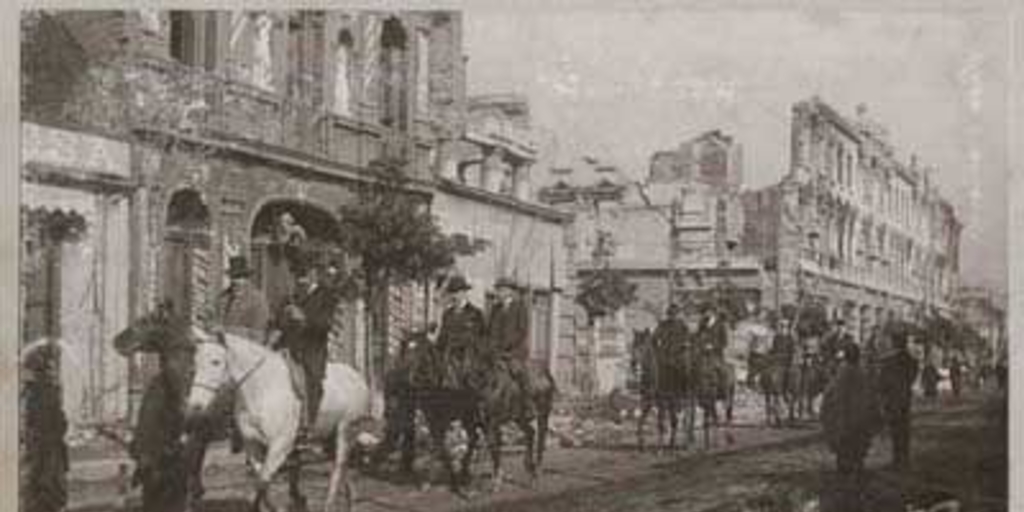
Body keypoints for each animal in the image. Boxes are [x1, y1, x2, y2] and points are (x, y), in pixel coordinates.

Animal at [185, 327, 372, 512]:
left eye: (215, 362)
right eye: (196, 362)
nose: (195, 405)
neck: (263, 389)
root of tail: (358, 378)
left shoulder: (280, 445)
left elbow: (262, 482)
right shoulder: (252, 445)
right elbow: (261, 482)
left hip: (345, 431)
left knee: (339, 467)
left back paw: (329, 504)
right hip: (329, 437)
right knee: (343, 468)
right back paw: (349, 501)